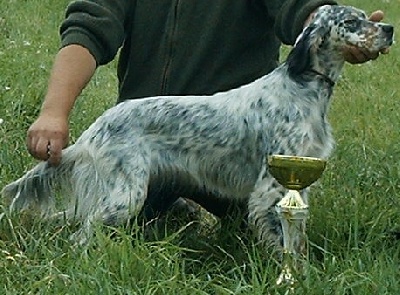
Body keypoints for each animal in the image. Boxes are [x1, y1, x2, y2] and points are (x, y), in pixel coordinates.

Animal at [0, 5, 394, 250]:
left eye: (367, 17)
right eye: (352, 22)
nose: (389, 28)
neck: (303, 86)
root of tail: (95, 129)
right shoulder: (271, 188)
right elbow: (282, 240)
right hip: (123, 196)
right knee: (81, 237)